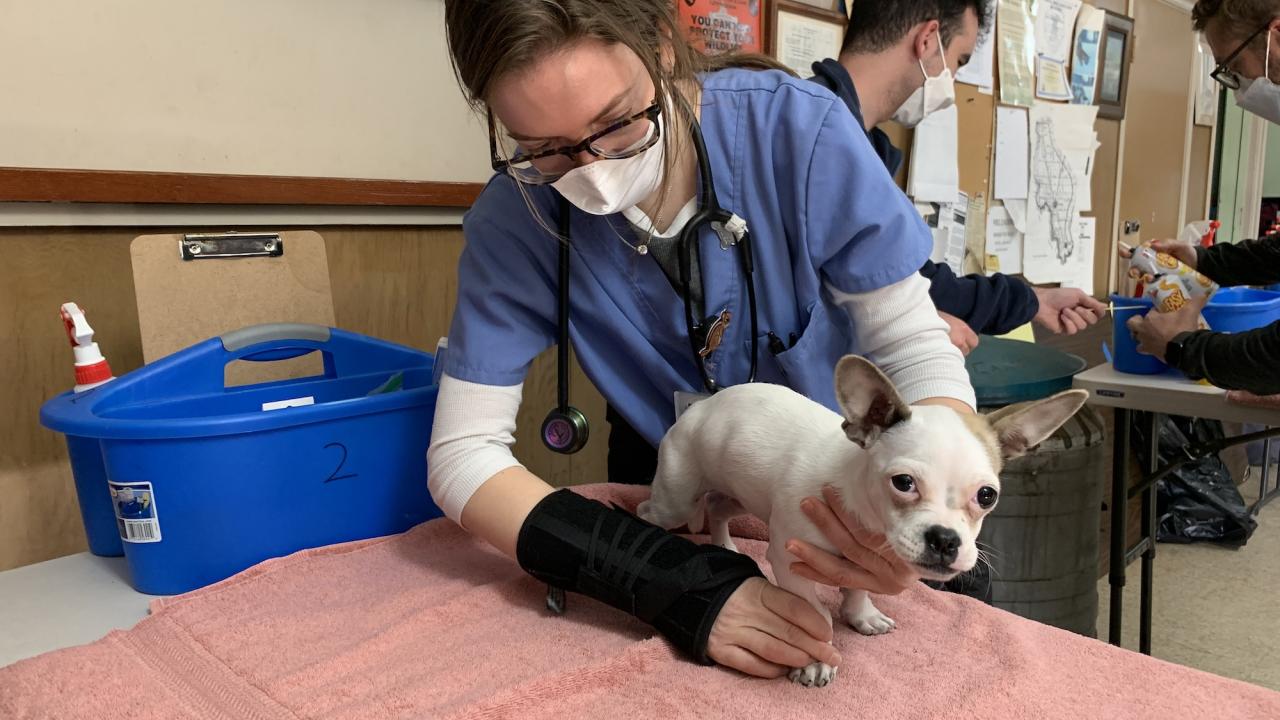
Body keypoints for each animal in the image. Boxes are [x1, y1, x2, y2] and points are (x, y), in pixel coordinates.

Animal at [634, 353, 1085, 681]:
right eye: (903, 483)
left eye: (987, 496)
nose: (945, 539)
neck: (858, 501)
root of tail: (701, 407)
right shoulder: (790, 560)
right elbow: (813, 615)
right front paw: (815, 659)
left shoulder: (860, 560)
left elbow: (856, 587)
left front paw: (861, 614)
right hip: (676, 497)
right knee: (651, 509)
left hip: (743, 492)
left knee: (718, 507)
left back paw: (725, 543)